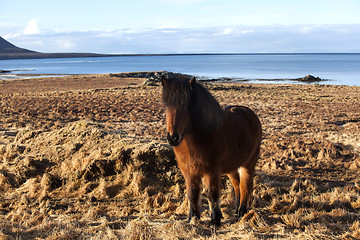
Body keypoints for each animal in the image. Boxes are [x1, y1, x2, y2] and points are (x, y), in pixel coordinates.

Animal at [160, 75, 262, 227]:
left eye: (187, 106)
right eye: (166, 106)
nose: (173, 138)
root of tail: (250, 113)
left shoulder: (212, 170)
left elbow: (212, 193)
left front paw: (215, 220)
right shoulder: (189, 172)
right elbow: (192, 194)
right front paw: (192, 218)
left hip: (248, 164)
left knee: (245, 185)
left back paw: (242, 211)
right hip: (232, 167)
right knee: (237, 185)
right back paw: (236, 210)